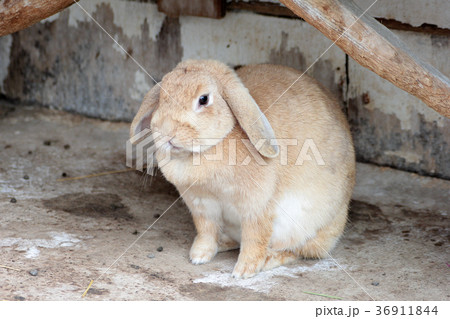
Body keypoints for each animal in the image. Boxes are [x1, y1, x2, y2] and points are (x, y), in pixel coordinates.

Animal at [129, 60, 356, 280]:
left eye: (203, 99)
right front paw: (199, 256)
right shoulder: (202, 205)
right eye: (161, 97)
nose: (166, 132)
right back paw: (223, 243)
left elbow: (254, 238)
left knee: (299, 250)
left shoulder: (256, 207)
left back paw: (269, 259)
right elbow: (206, 231)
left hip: (309, 227)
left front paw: (244, 270)